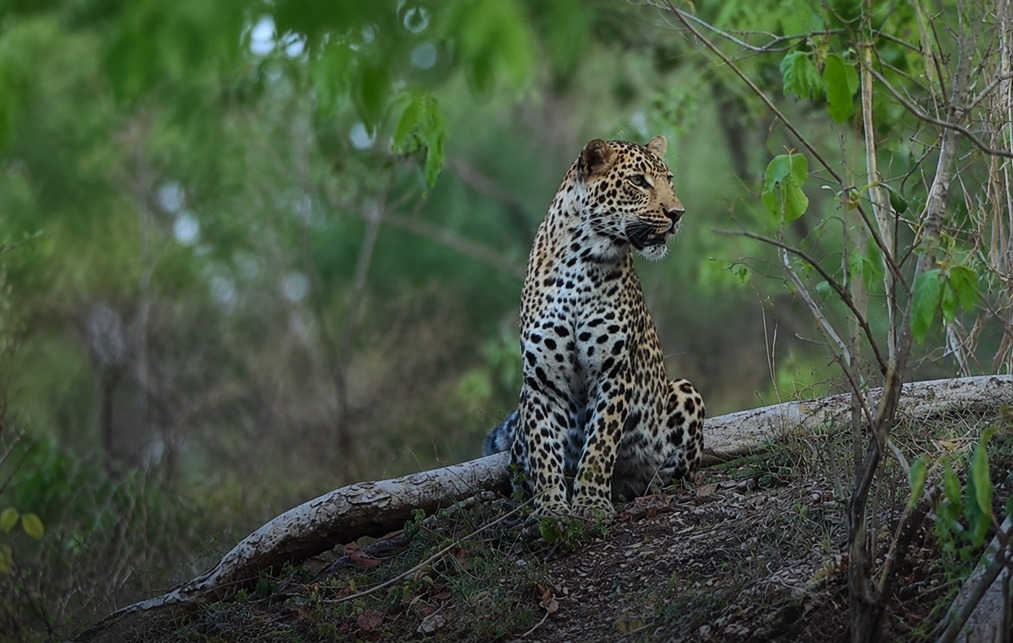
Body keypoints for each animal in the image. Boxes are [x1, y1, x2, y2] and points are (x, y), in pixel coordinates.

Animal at [483, 135, 705, 522]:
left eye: (669, 180)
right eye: (638, 181)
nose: (678, 214)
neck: (581, 260)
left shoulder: (613, 371)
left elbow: (600, 444)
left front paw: (590, 504)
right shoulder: (541, 382)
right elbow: (544, 451)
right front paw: (551, 509)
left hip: (682, 391)